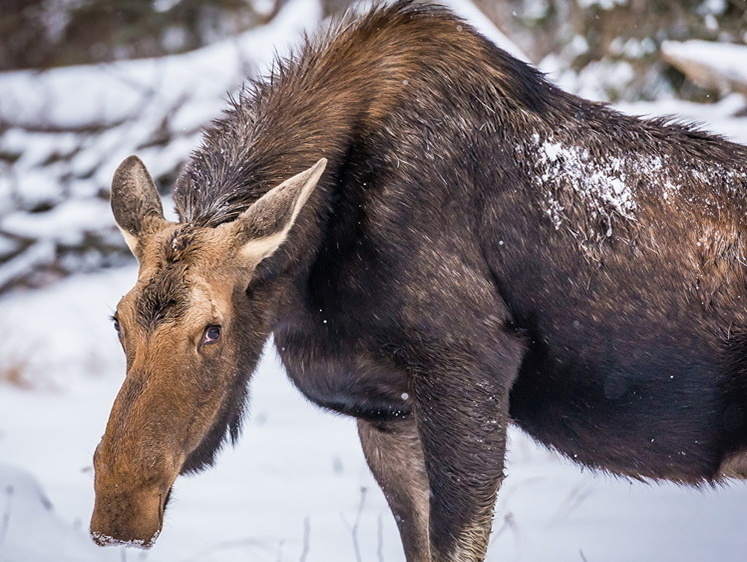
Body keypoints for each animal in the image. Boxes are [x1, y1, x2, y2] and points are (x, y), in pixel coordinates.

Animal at [92, 2, 747, 556]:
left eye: (213, 329)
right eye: (117, 321)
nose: (118, 515)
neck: (307, 280)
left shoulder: (468, 372)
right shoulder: (385, 408)